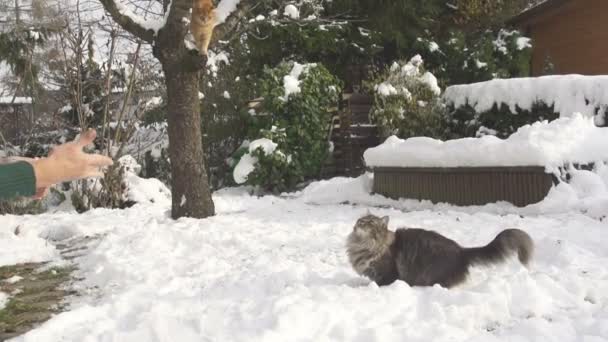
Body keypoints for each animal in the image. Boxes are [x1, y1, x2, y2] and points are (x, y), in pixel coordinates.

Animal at [344, 215, 536, 288]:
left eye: (369, 222)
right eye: (360, 220)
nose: (358, 224)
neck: (362, 246)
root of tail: (461, 251)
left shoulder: (388, 274)